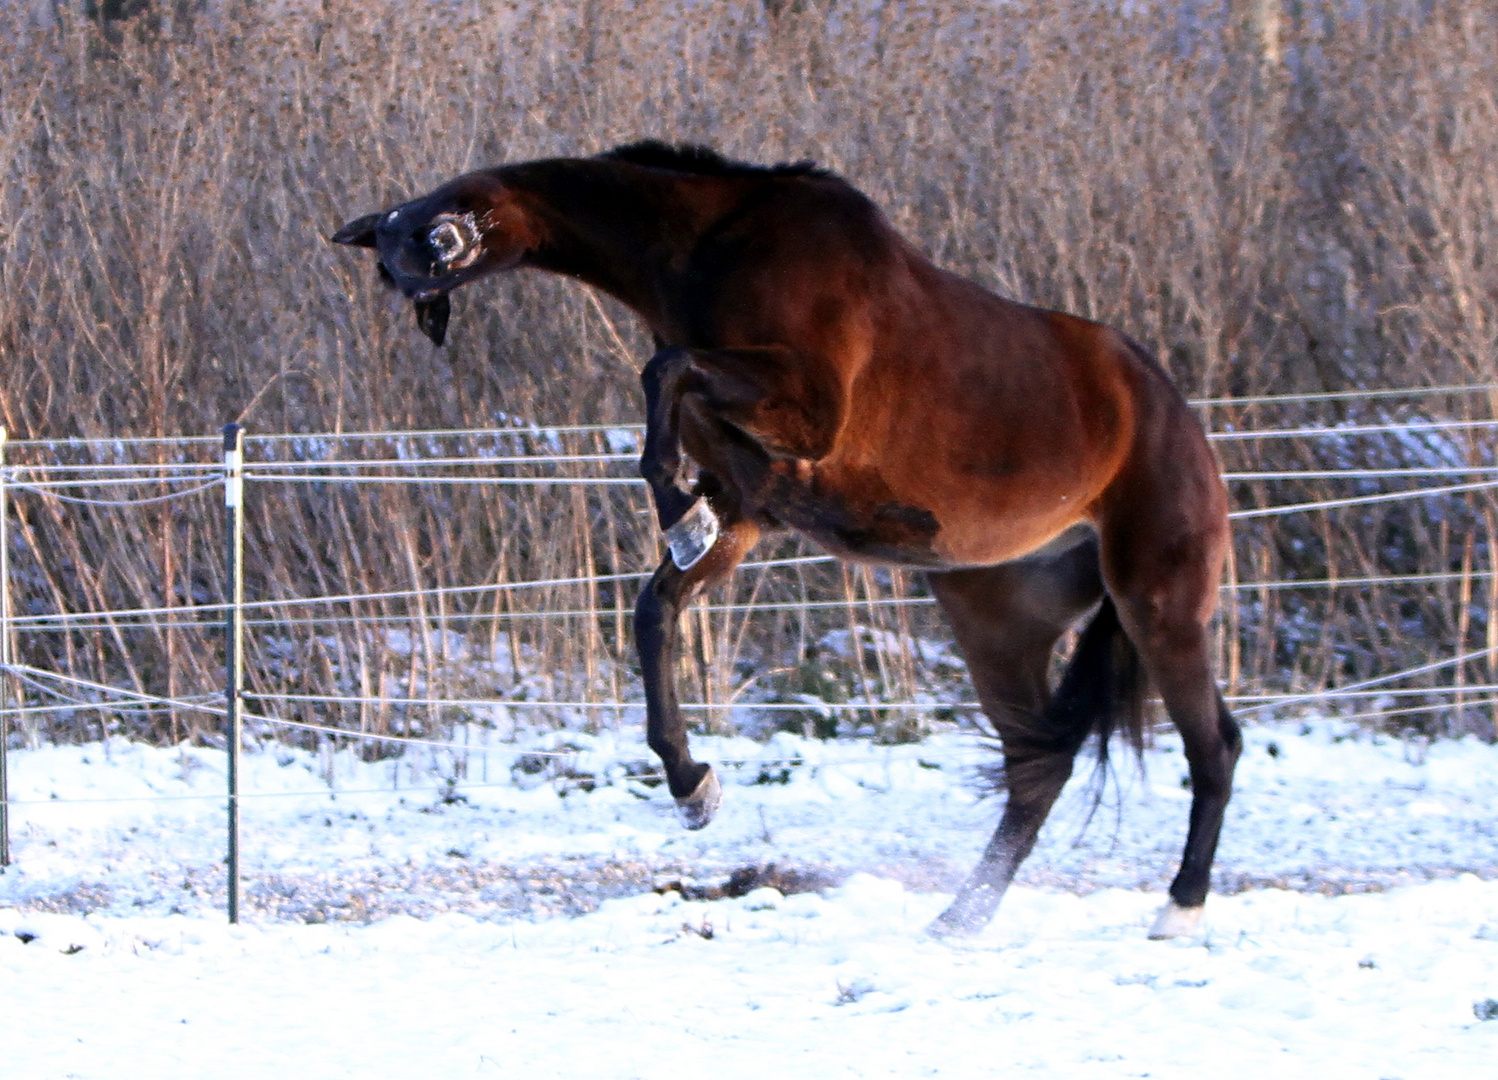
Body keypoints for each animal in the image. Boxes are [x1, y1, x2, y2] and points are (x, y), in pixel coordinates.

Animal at [337, 140, 1240, 934]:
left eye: (429, 226)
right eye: (399, 262)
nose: (439, 249)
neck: (714, 248)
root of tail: (1179, 419)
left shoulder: (807, 411)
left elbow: (665, 373)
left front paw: (676, 514)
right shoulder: (750, 503)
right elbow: (655, 610)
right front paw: (692, 784)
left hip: (1157, 605)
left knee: (1213, 748)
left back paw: (1179, 910)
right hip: (998, 621)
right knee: (1037, 765)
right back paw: (958, 922)